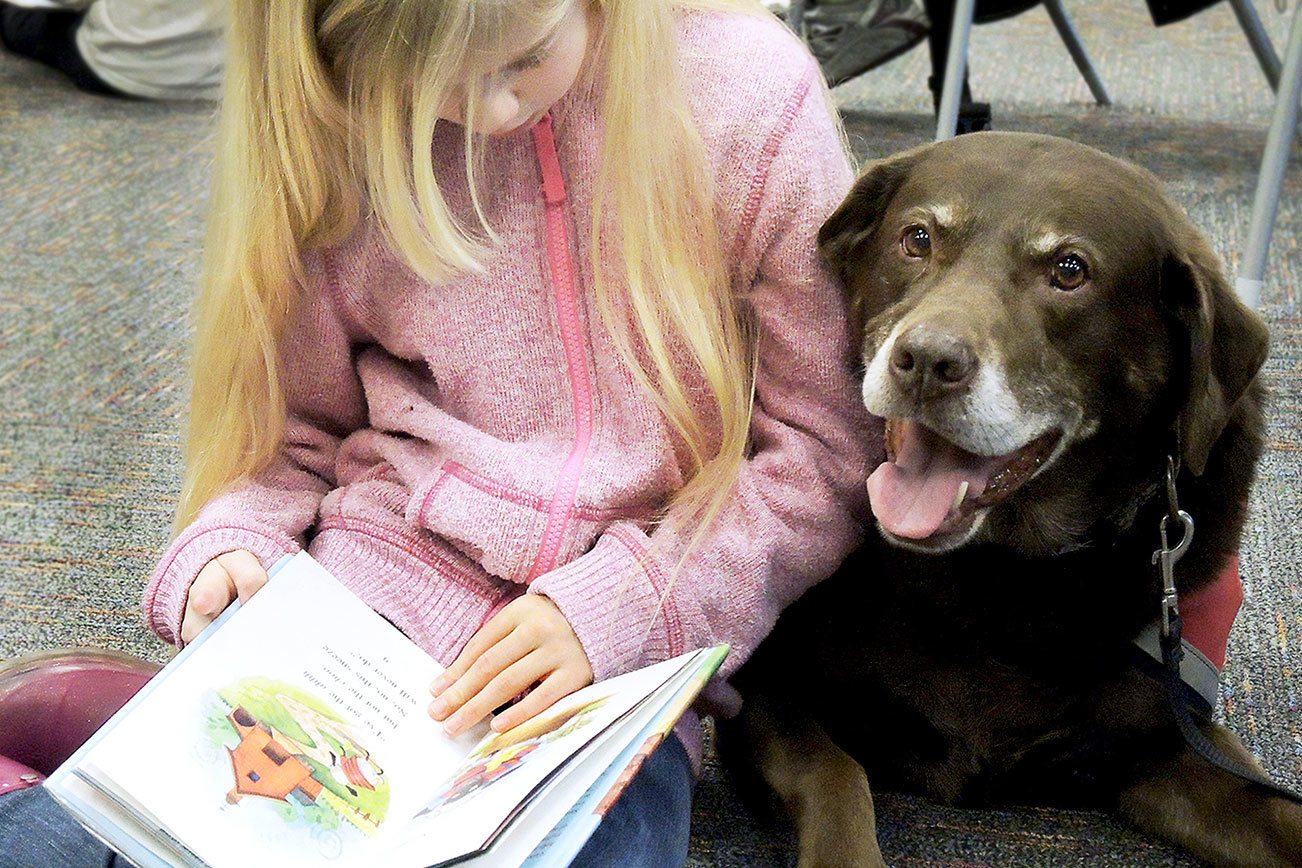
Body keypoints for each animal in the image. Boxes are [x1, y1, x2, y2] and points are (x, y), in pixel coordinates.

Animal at [723, 132, 1302, 864]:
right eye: (917, 238)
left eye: (1070, 270)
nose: (928, 362)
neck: (1003, 570)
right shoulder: (766, 686)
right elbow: (834, 774)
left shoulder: (1165, 747)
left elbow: (1282, 813)